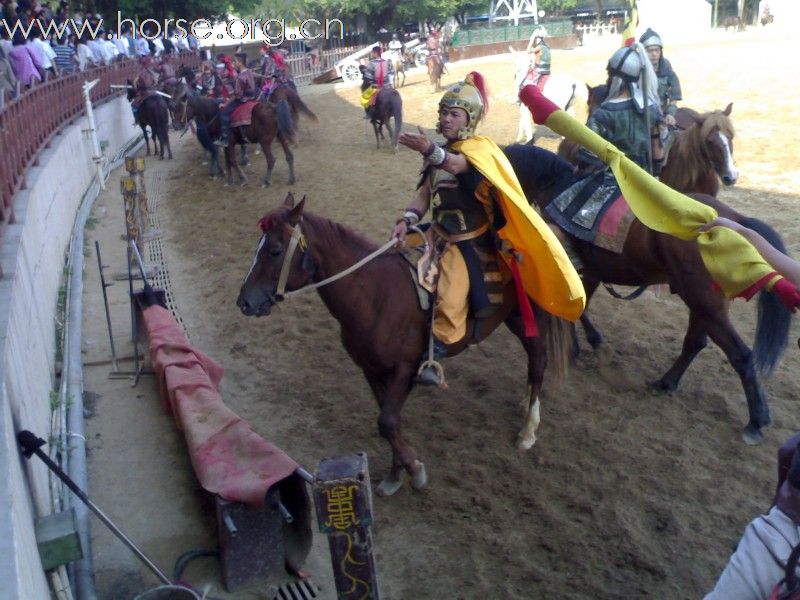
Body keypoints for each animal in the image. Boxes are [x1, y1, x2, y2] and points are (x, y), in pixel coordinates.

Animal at [238, 193, 576, 496]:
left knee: (538, 364)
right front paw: (396, 473)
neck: (376, 294)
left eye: (275, 250)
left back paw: (528, 429)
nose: (245, 302)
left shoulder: (406, 368)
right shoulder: (372, 370)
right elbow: (390, 422)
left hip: (532, 321)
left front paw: (414, 469)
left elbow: (387, 421)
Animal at [504, 143, 792, 446]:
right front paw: (585, 346)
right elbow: (580, 310)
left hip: (706, 304)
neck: (556, 186)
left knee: (741, 355)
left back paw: (756, 420)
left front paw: (583, 347)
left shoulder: (580, 270)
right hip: (702, 303)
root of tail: (737, 223)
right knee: (696, 343)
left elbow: (577, 309)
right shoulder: (591, 272)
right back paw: (667, 382)